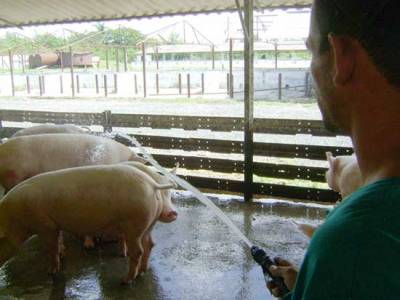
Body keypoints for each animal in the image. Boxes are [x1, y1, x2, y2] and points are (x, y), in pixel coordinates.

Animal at [0, 164, 177, 284]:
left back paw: (125, 280)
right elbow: (58, 242)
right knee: (150, 244)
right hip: (148, 224)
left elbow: (51, 248)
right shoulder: (55, 225)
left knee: (138, 251)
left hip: (134, 225)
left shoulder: (46, 225)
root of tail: (152, 184)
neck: (15, 218)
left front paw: (50, 272)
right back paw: (142, 272)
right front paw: (62, 254)